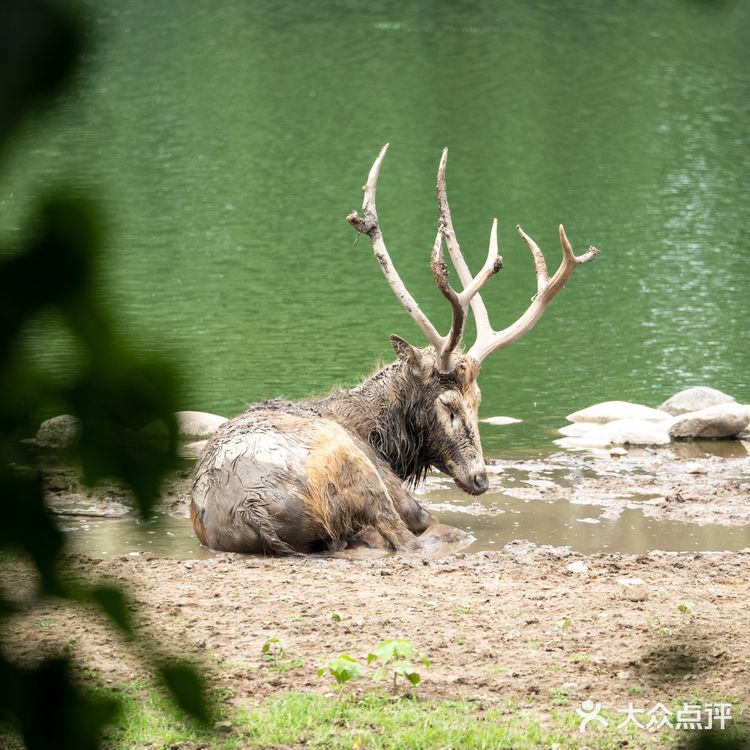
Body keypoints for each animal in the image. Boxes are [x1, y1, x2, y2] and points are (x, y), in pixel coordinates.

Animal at [190, 145, 599, 555]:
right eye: (449, 405)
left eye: (478, 400)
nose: (480, 479)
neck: (381, 440)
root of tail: (254, 514)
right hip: (361, 474)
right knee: (413, 538)